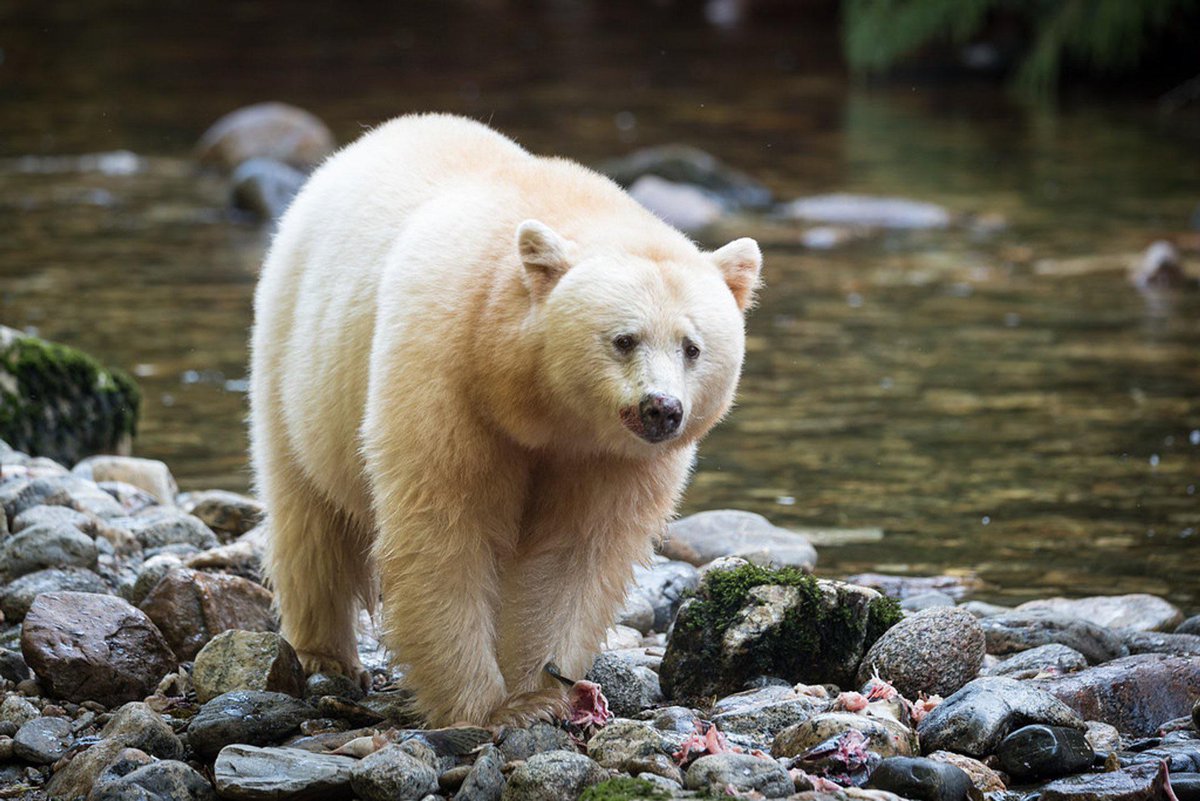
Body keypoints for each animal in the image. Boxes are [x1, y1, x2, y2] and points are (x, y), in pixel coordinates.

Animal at [248, 113, 763, 724]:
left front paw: (537, 694)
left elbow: (574, 551)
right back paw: (326, 657)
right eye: (624, 339)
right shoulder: (448, 376)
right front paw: (480, 707)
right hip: (296, 356)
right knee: (308, 521)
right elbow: (446, 526)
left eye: (692, 347)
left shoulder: (609, 457)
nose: (660, 409)